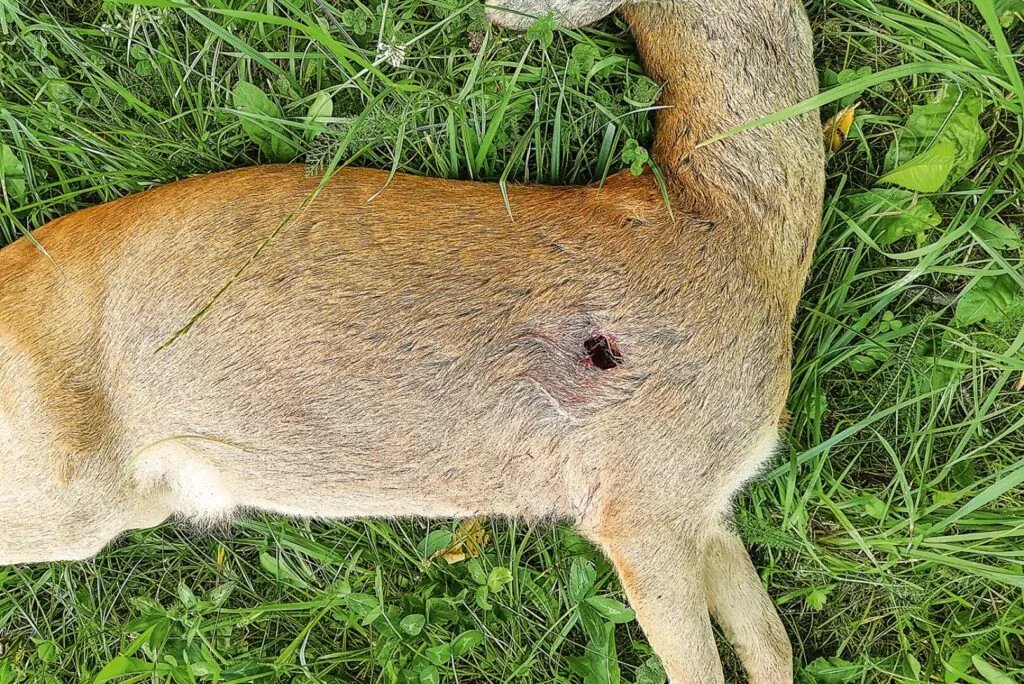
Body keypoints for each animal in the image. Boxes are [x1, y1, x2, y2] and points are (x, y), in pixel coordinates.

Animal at [0, 0, 824, 680]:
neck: (731, 225)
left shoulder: (706, 502)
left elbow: (770, 644)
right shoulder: (641, 494)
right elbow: (702, 666)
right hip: (68, 484)